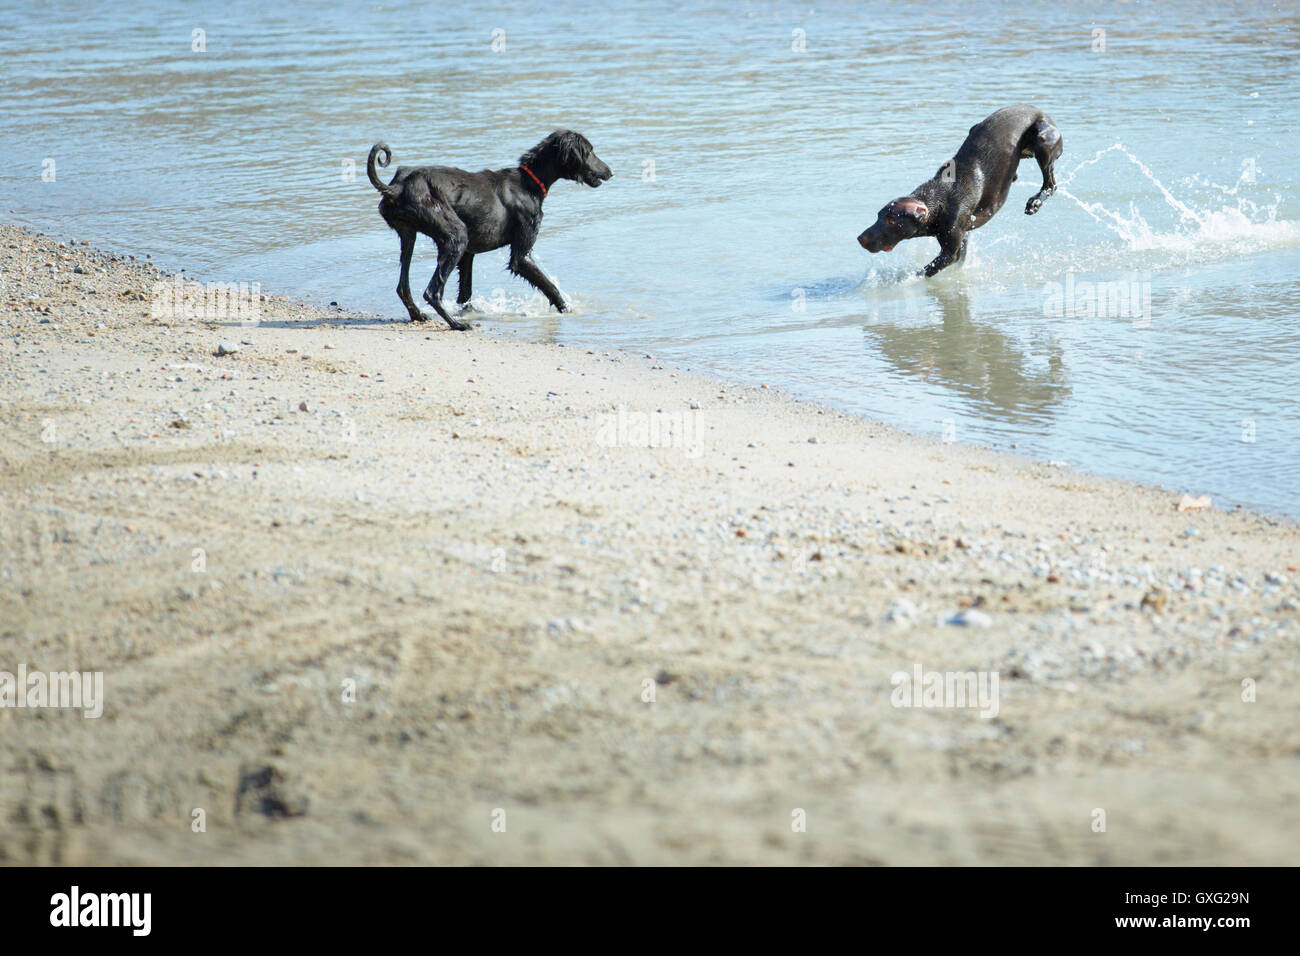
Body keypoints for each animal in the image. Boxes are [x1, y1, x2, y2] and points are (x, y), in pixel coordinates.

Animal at [366, 132, 608, 329]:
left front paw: (471, 313)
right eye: (589, 151)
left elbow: (465, 293)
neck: (529, 183)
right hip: (456, 235)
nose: (609, 171)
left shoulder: (468, 254)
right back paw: (456, 325)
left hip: (410, 235)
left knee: (403, 287)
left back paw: (418, 315)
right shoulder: (521, 256)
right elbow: (549, 285)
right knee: (432, 291)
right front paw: (567, 309)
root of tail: (397, 187)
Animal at [857, 105, 1060, 277]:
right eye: (878, 216)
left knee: (1051, 184)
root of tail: (1041, 112)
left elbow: (922, 273)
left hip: (1043, 141)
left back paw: (1035, 202)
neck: (940, 197)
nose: (860, 239)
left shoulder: (950, 252)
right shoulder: (962, 239)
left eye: (892, 221)